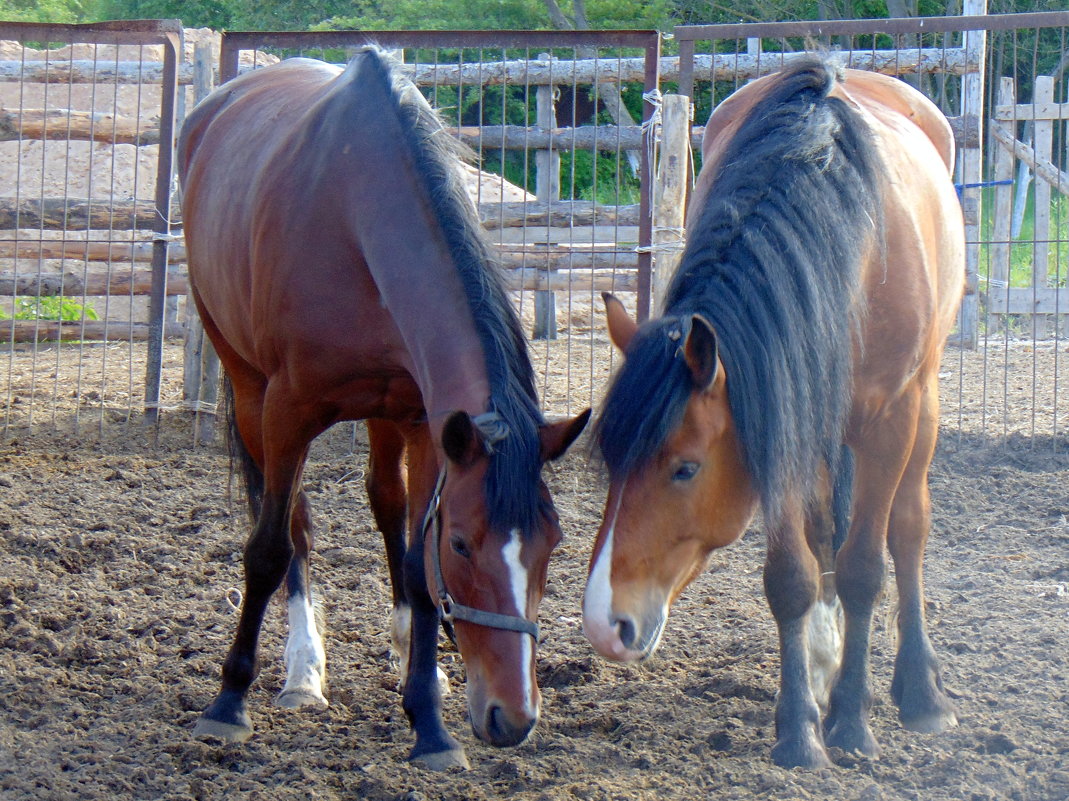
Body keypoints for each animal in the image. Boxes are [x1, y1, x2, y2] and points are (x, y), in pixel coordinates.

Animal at [179, 49, 590, 769]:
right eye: (462, 543)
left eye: (553, 543)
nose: (512, 717)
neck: (356, 212)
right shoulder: (287, 411)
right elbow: (269, 547)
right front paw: (229, 701)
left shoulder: (428, 424)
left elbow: (418, 566)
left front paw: (428, 718)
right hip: (247, 385)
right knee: (291, 524)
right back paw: (302, 670)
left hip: (384, 413)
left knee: (384, 503)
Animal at [581, 57, 966, 769]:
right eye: (612, 464)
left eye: (685, 469)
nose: (604, 623)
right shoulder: (778, 411)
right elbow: (792, 574)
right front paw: (800, 728)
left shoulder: (888, 421)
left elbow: (867, 565)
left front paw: (851, 723)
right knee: (824, 538)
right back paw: (823, 665)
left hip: (923, 405)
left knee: (907, 529)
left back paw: (918, 689)